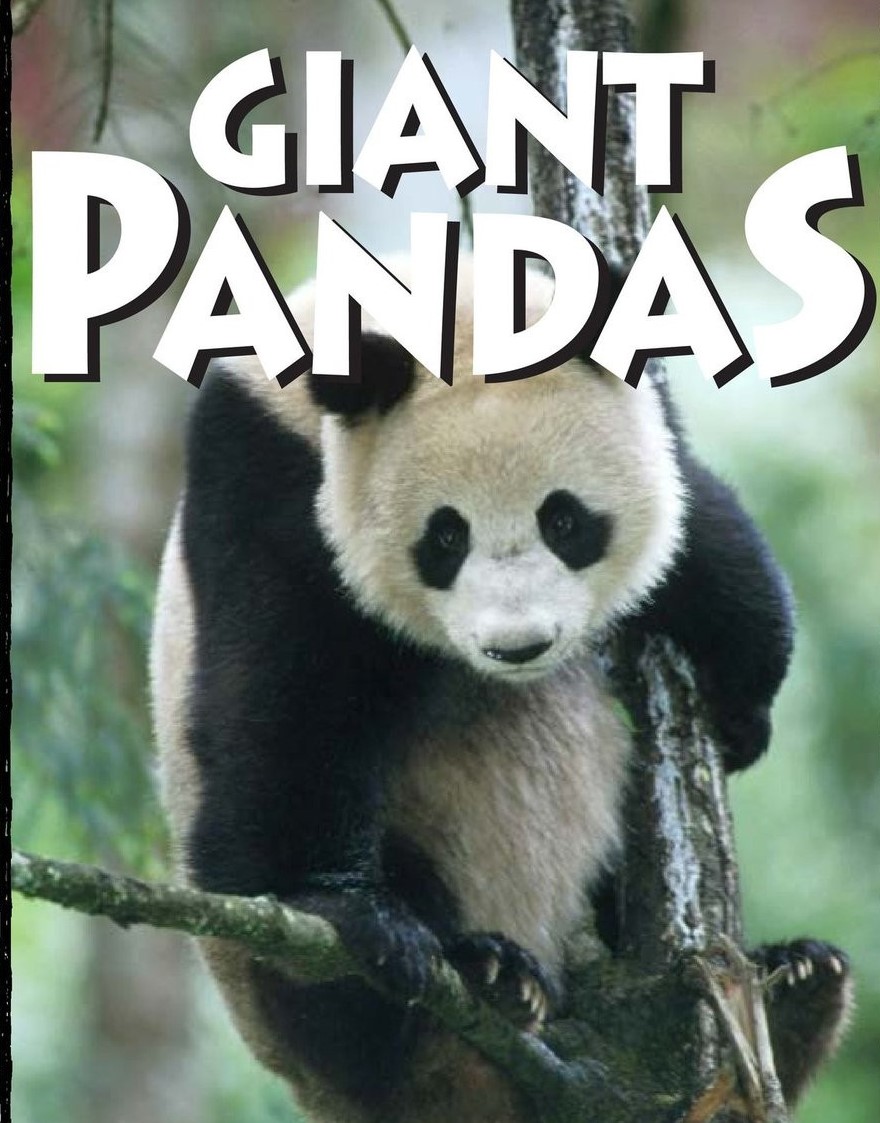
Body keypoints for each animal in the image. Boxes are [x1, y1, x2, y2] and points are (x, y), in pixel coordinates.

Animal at [151, 257, 853, 1123]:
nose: (518, 646)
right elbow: (282, 715)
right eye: (445, 536)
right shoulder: (265, 476)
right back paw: (478, 971)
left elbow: (699, 524)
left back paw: (793, 988)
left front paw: (743, 704)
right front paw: (354, 914)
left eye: (566, 521)